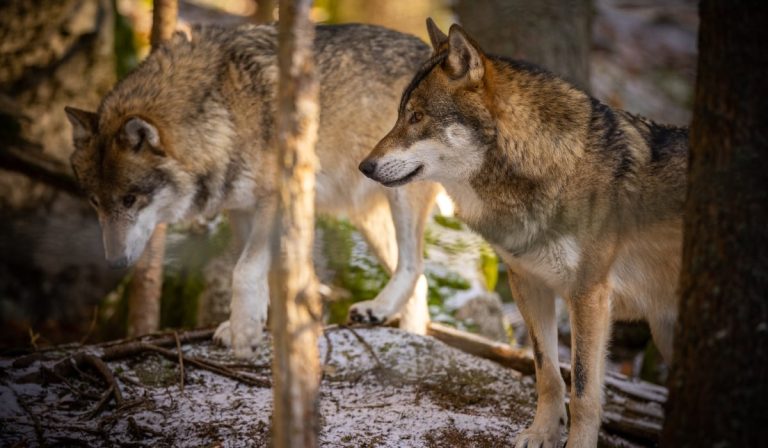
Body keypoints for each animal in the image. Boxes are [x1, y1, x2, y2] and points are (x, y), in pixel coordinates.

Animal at [67, 24, 440, 358]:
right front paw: (256, 328)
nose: (114, 262)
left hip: (400, 199)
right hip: (370, 220)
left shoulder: (275, 200)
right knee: (419, 282)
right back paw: (405, 333)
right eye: (96, 203)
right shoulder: (242, 209)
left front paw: (246, 333)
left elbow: (244, 270)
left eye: (130, 199)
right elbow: (263, 275)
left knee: (414, 266)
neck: (225, 112)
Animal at [364, 20, 688, 448]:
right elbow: (547, 372)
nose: (364, 166)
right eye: (401, 114)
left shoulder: (588, 295)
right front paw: (540, 434)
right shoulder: (529, 285)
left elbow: (583, 389)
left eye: (417, 116)